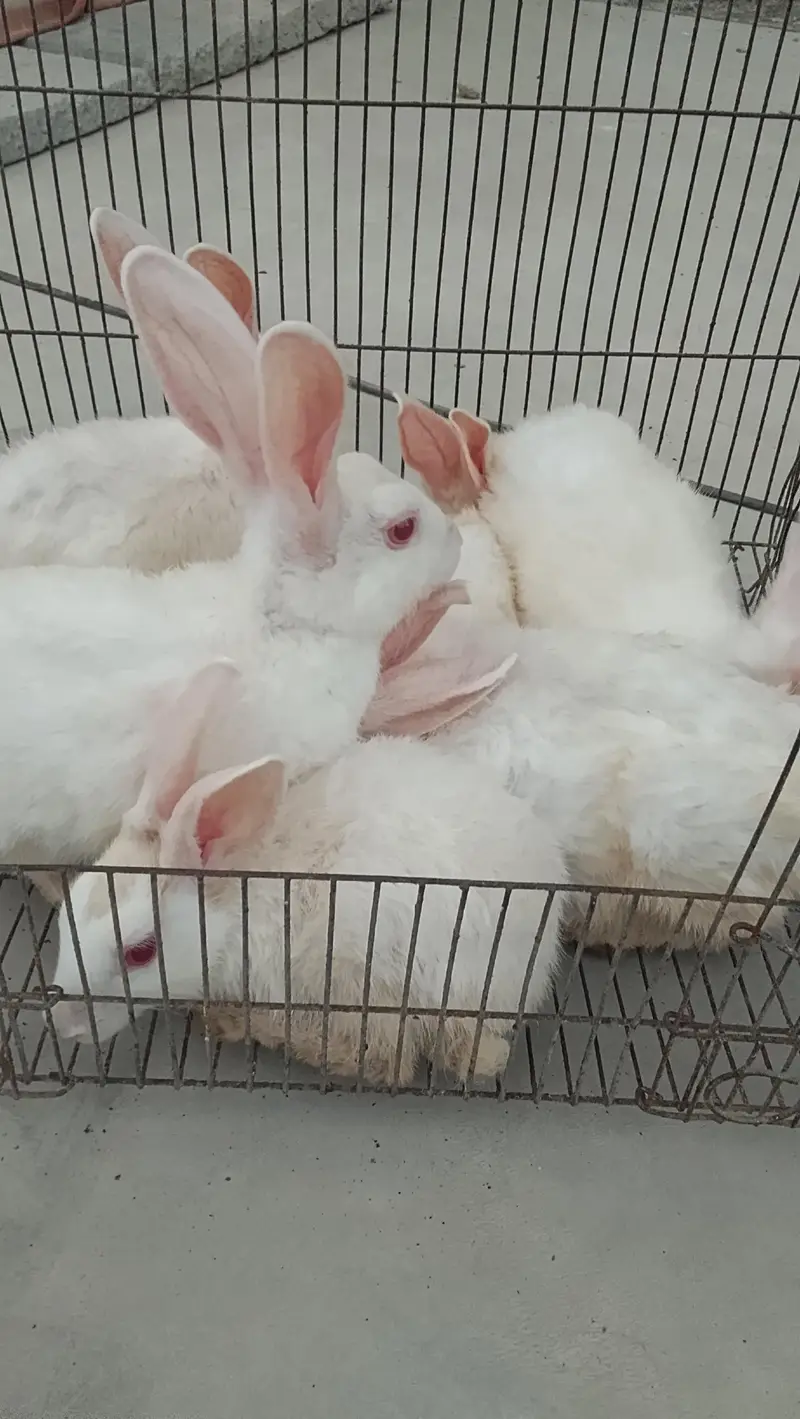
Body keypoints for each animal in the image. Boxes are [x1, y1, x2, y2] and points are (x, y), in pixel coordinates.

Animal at [50, 666, 566, 1085]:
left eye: (140, 952)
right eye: (67, 905)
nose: (64, 1023)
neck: (233, 899)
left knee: (384, 1061)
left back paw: (233, 1023)